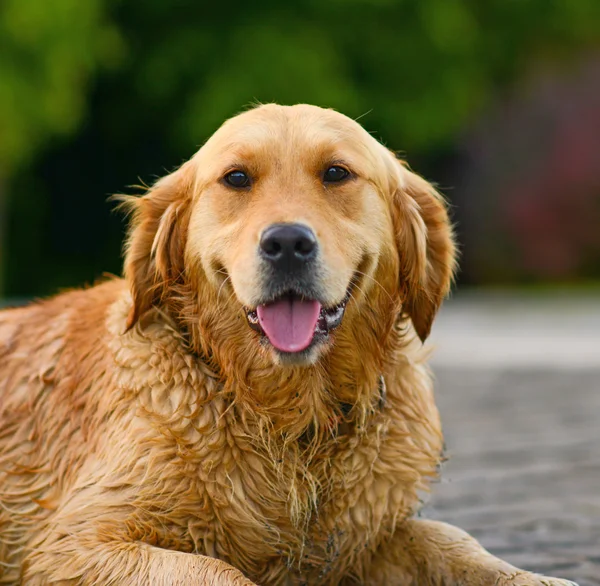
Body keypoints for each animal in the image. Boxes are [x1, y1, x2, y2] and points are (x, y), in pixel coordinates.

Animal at [0, 105, 576, 584]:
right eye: (236, 178)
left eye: (336, 173)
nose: (287, 243)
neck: (287, 421)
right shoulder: (75, 543)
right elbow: (219, 571)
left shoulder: (364, 538)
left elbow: (451, 541)